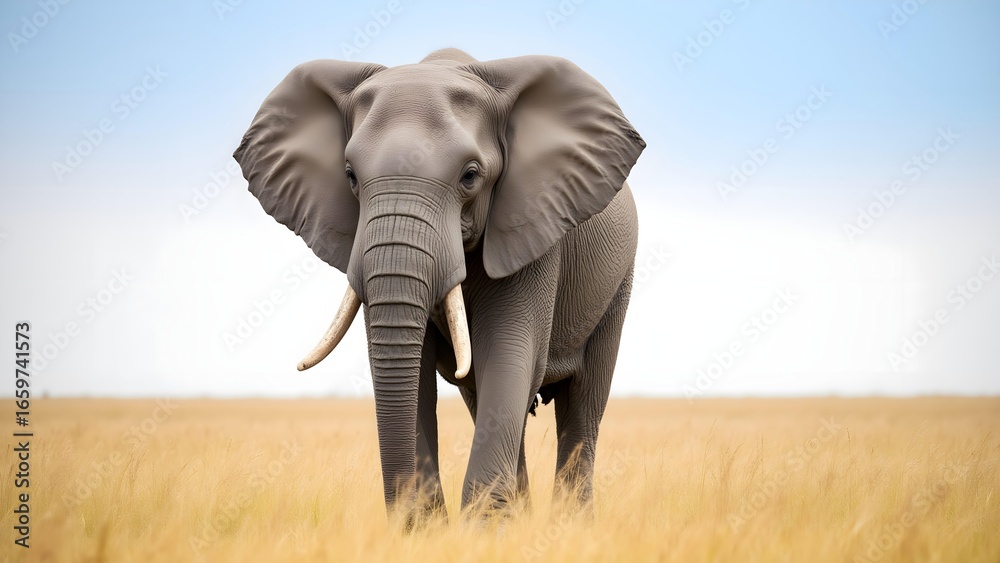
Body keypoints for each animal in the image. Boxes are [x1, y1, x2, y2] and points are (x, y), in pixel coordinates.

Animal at [233, 48, 644, 524]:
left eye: (470, 176)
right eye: (350, 176)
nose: (403, 519)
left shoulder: (534, 227)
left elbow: (509, 350)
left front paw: (484, 529)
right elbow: (416, 374)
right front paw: (433, 528)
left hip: (618, 284)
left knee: (582, 405)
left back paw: (568, 524)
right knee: (486, 401)